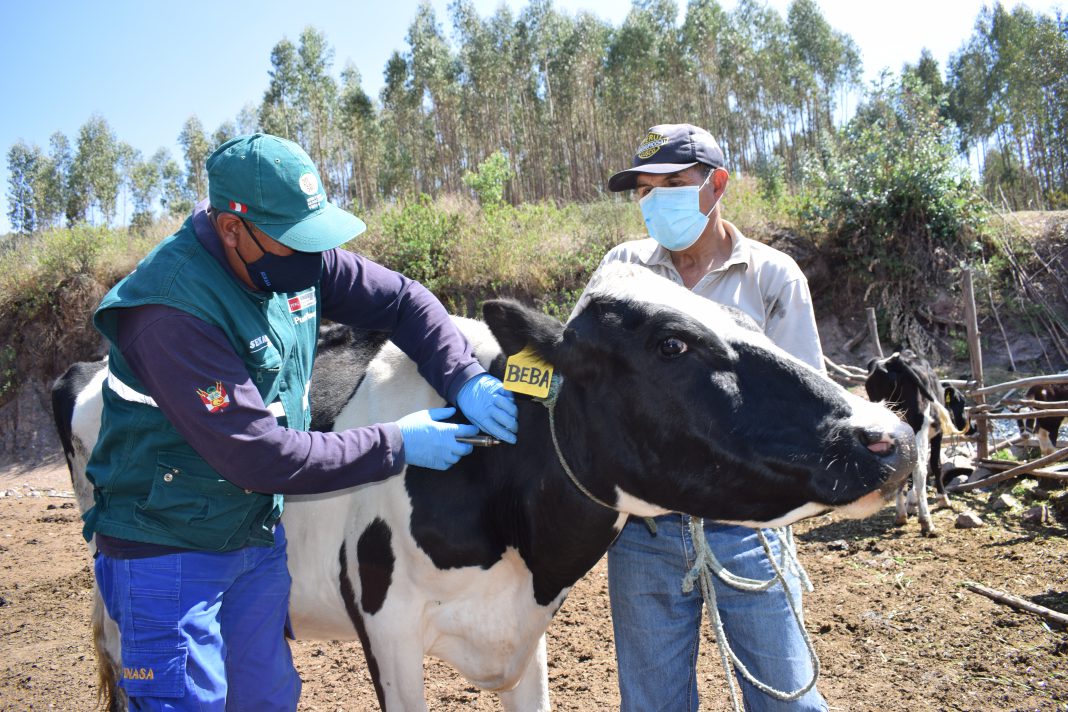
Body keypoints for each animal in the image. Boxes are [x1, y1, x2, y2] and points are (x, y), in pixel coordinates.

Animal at [54, 263, 914, 712]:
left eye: (756, 322)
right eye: (673, 344)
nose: (891, 436)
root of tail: (88, 366)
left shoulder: (525, 638)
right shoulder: (387, 627)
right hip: (128, 594)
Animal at [858, 350, 969, 533]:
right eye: (962, 402)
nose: (969, 425)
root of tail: (895, 362)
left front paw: (910, 503)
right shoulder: (937, 435)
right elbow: (936, 465)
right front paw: (942, 498)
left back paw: (901, 515)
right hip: (918, 426)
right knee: (920, 470)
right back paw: (926, 522)